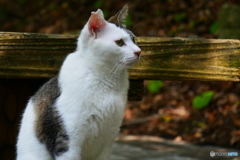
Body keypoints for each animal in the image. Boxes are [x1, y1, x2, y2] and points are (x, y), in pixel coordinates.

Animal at [16, 4, 141, 160]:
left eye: (134, 40)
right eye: (119, 42)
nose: (139, 51)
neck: (105, 79)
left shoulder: (108, 140)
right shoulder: (68, 141)